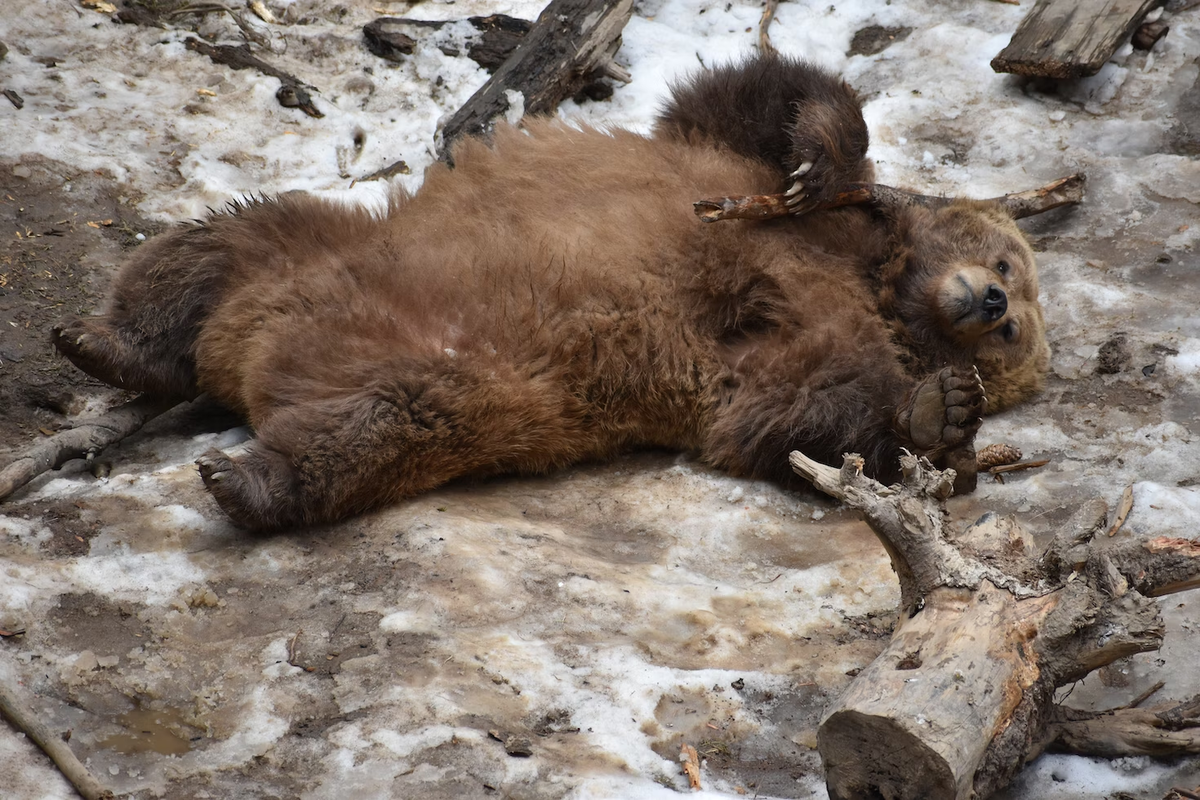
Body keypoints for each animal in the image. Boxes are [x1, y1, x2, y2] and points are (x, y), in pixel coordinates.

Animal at [51, 56, 1046, 532]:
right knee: (221, 239)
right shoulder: (734, 178)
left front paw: (941, 411)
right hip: (331, 246)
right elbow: (751, 101)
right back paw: (107, 341)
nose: (994, 306)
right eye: (1007, 264)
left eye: (1016, 335)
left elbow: (795, 416)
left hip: (472, 384)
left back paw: (246, 478)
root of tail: (251, 361)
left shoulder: (789, 340)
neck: (876, 280)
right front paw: (819, 153)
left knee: (377, 425)